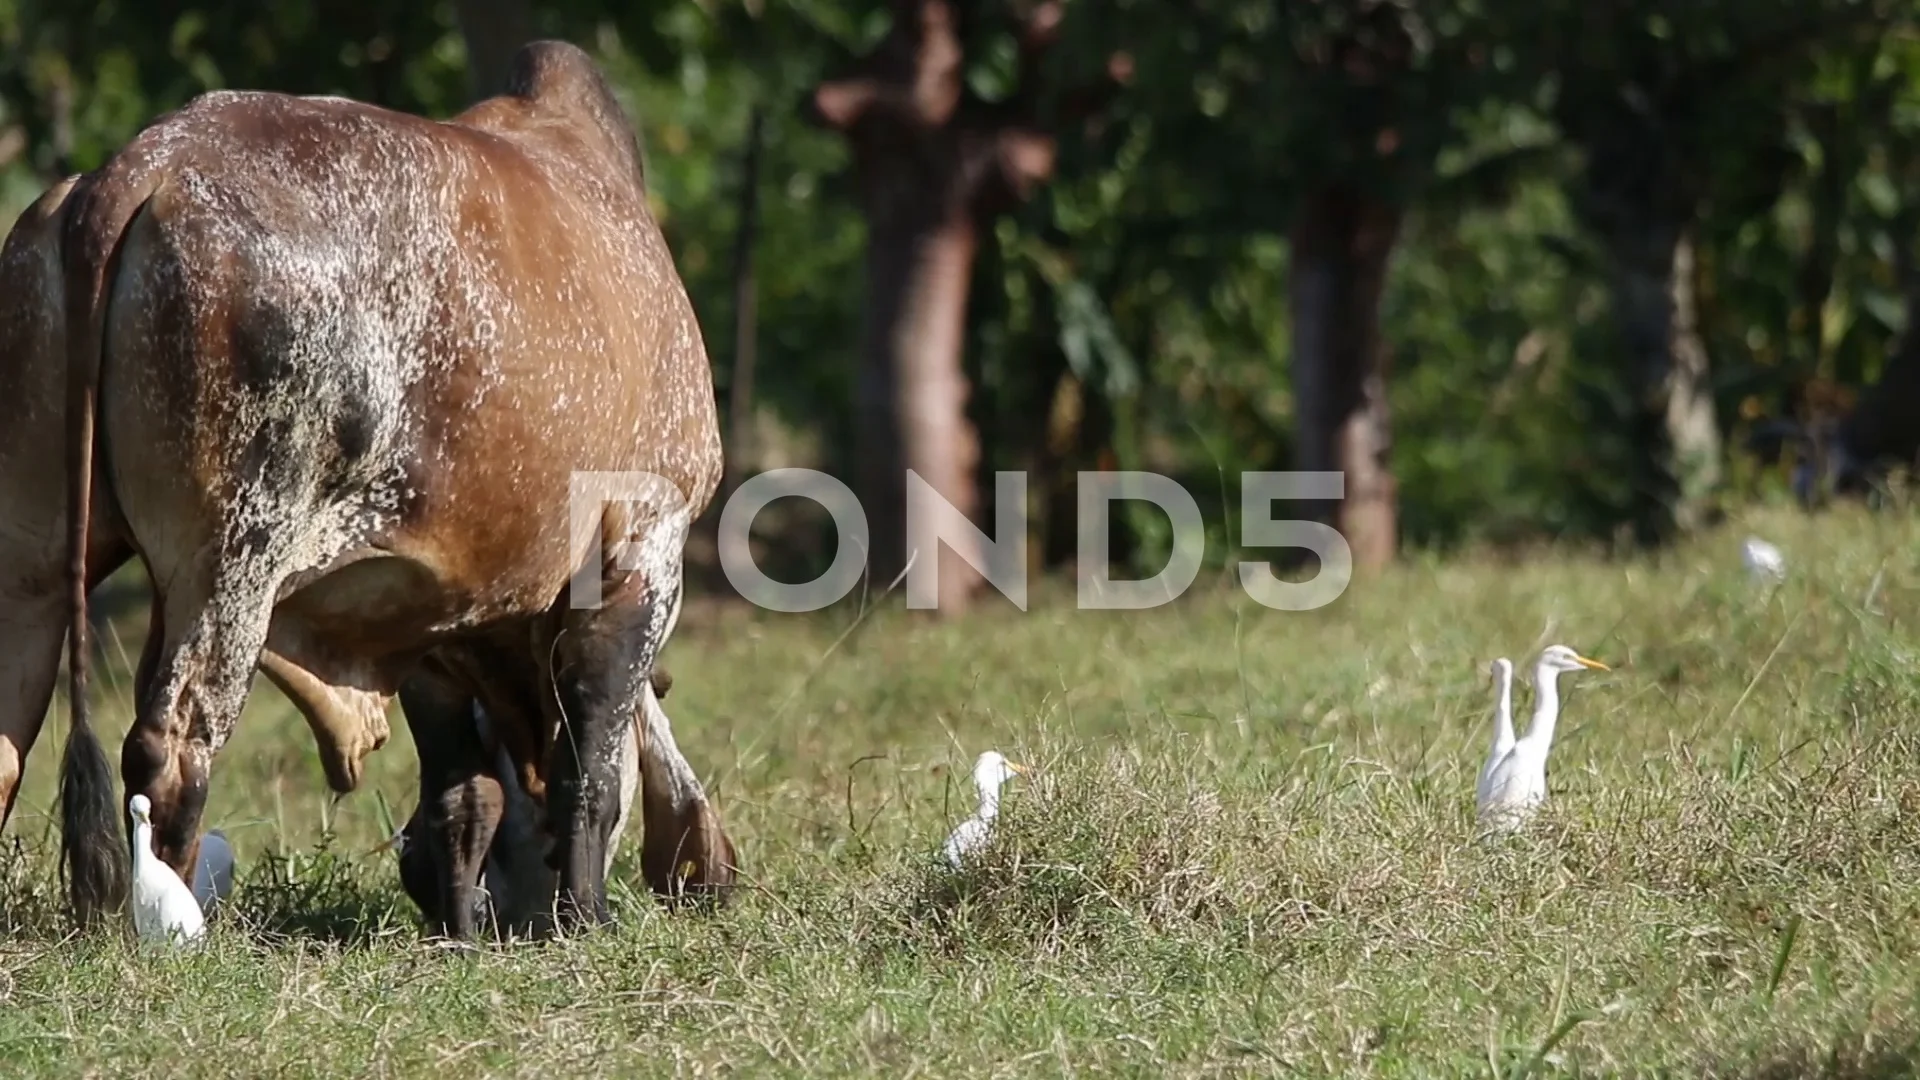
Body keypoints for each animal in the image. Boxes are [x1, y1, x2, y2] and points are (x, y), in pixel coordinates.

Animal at [5, 39, 733, 933]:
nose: (417, 876)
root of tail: (143, 162)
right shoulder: (644, 542)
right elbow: (588, 764)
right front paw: (586, 917)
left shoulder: (417, 612)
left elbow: (466, 792)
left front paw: (461, 930)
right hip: (233, 557)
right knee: (172, 746)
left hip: (31, 559)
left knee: (7, 745)